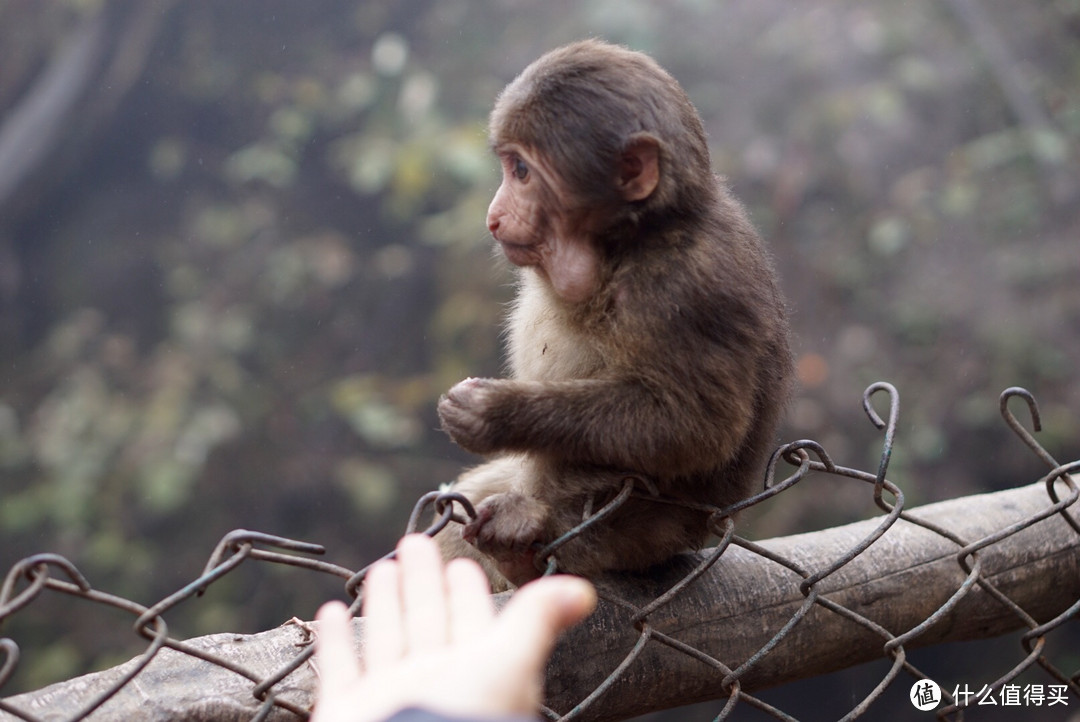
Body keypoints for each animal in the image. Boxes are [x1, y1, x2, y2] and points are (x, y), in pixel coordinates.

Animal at [432, 39, 794, 587]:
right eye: (508, 166)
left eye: (522, 172)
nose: (493, 215)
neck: (632, 240)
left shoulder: (682, 288)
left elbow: (694, 427)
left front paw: (496, 413)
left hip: (633, 538)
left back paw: (523, 549)